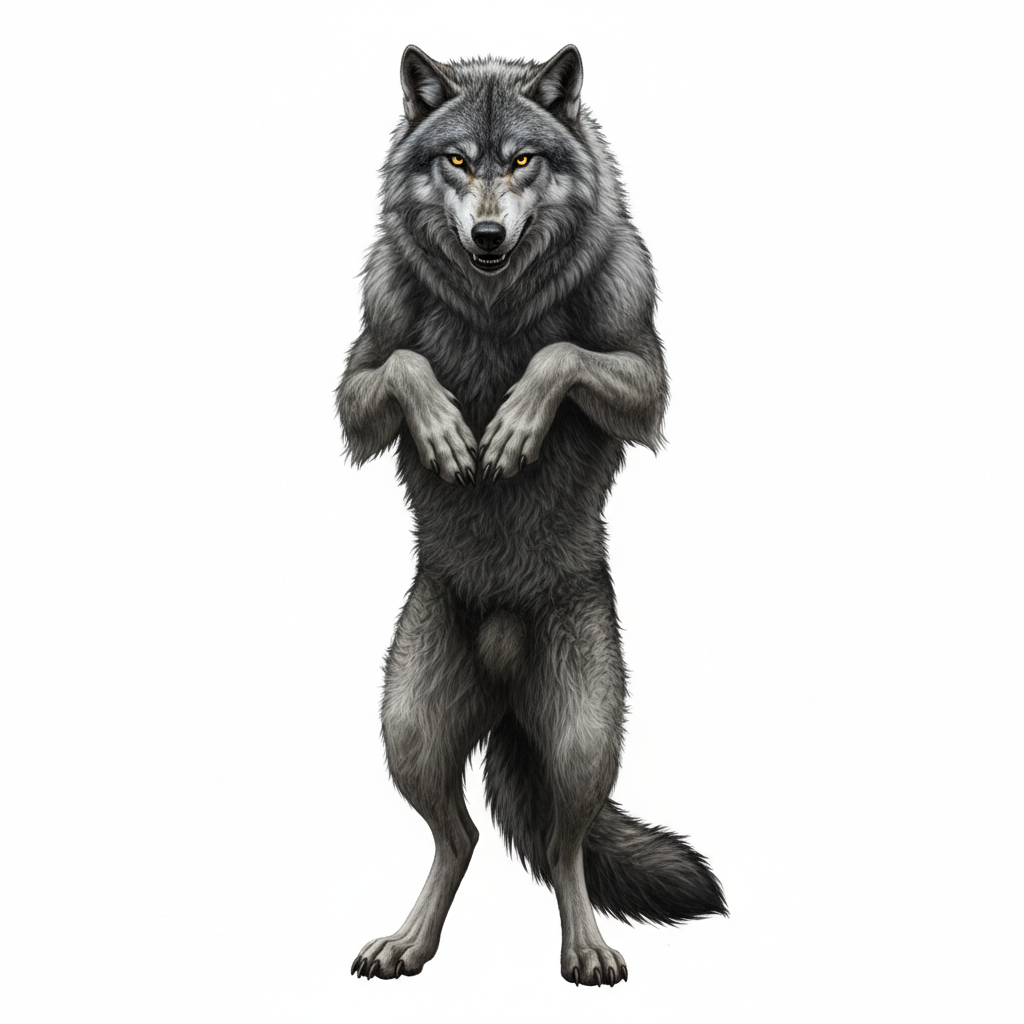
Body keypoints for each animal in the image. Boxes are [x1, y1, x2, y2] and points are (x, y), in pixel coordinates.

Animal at [337, 44, 726, 987]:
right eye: (457, 159)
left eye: (521, 160)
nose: (485, 238)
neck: (495, 306)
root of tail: (508, 664)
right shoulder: (360, 372)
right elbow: (402, 363)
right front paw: (447, 428)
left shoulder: (643, 370)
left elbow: (560, 353)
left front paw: (514, 423)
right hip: (408, 728)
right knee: (463, 837)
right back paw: (409, 944)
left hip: (583, 736)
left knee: (561, 845)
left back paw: (586, 948)